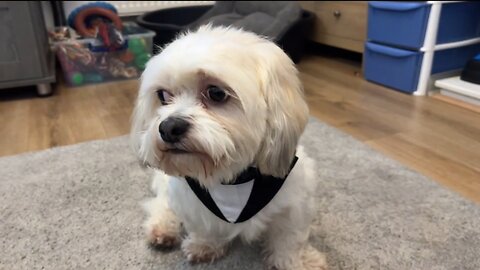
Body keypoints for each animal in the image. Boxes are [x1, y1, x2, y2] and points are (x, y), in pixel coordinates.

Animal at [130, 25, 326, 270]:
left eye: (216, 93)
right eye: (163, 96)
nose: (168, 127)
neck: (234, 180)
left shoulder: (294, 202)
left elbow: (289, 238)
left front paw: (296, 261)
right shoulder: (193, 202)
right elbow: (205, 225)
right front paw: (206, 245)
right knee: (162, 203)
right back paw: (162, 227)